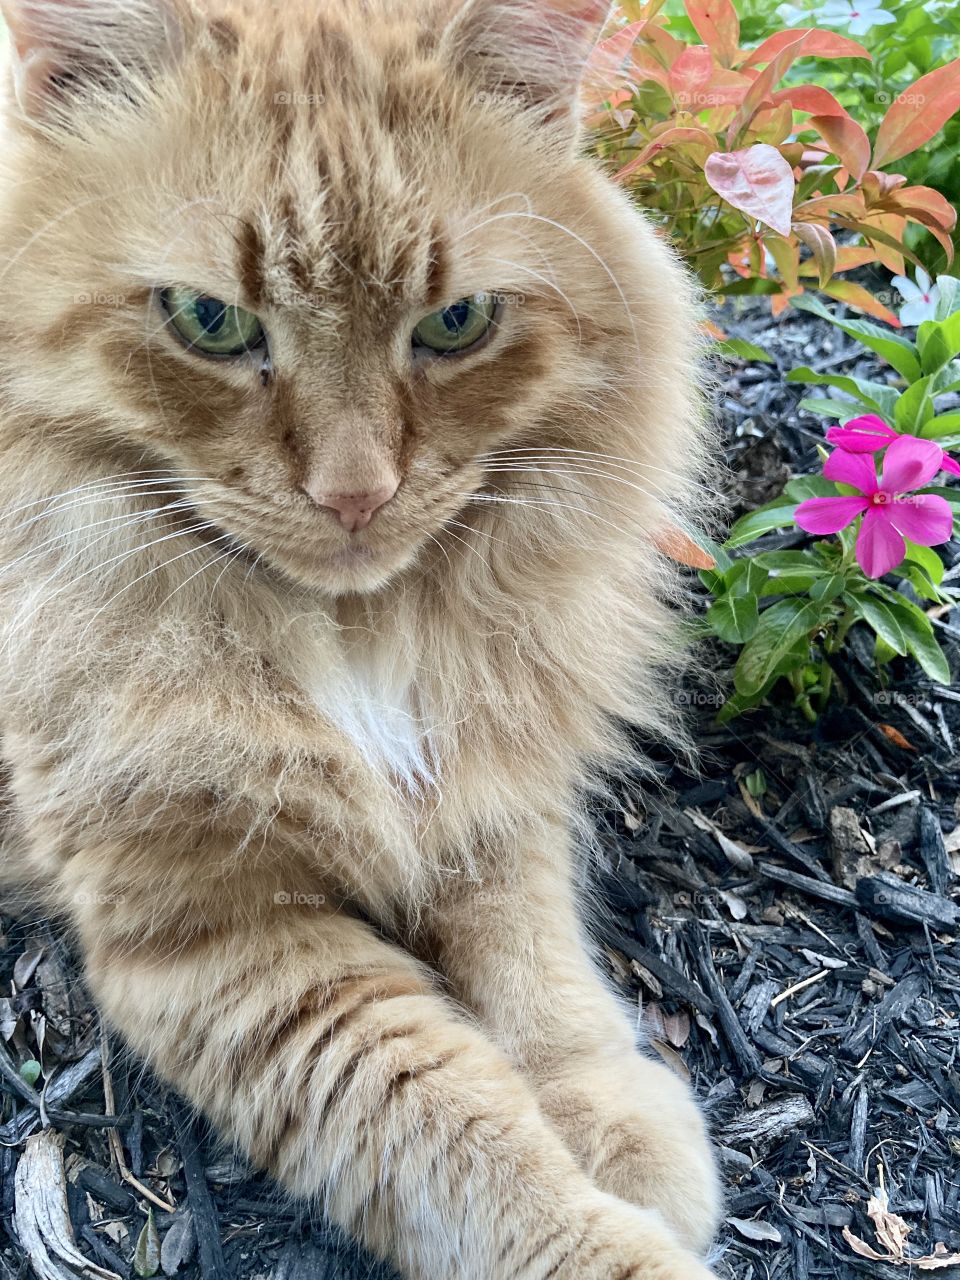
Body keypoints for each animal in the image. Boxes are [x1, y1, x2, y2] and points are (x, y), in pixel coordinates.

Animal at [0, 5, 721, 1274]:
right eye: (210, 321)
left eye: (456, 323)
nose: (354, 494)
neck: (356, 637)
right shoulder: (224, 937)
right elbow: (463, 1131)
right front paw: (607, 1234)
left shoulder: (488, 797)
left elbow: (543, 984)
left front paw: (616, 1121)